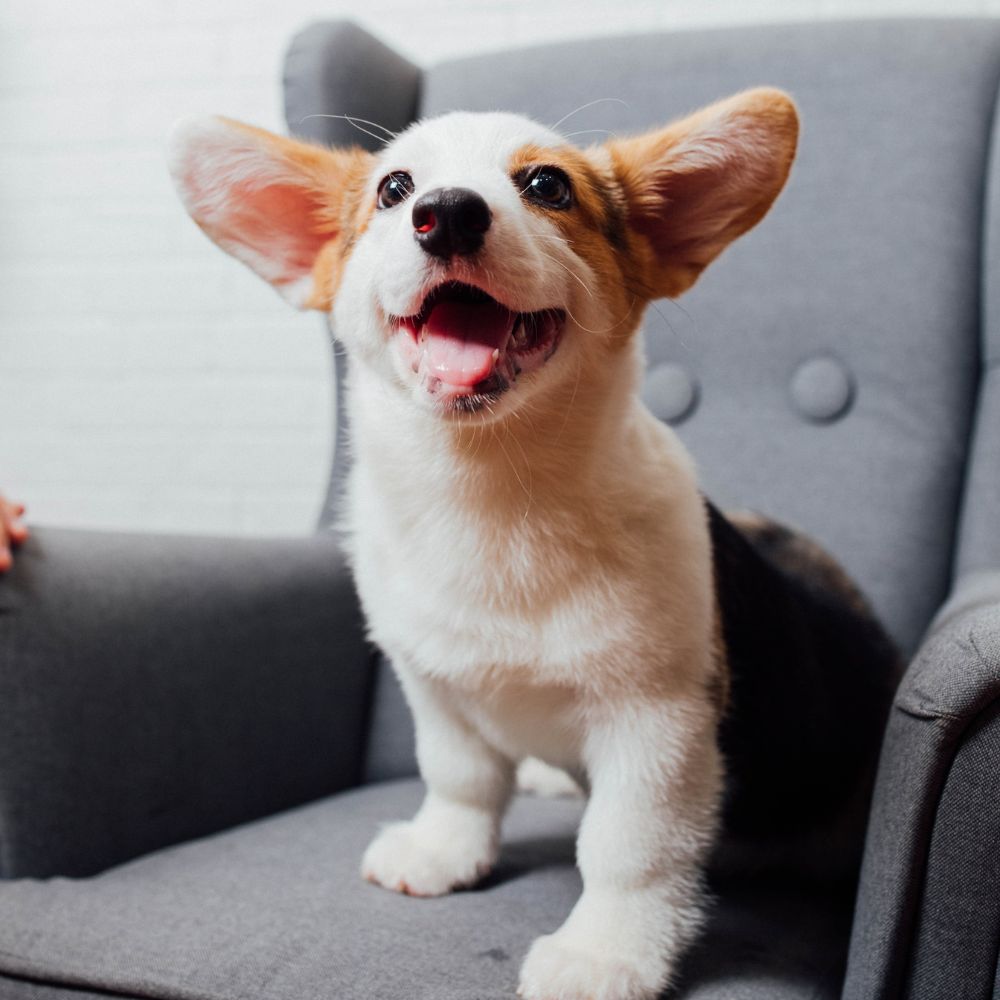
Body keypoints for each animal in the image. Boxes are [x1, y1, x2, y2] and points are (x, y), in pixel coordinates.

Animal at [168, 94, 904, 1000]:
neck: (490, 492)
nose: (446, 212)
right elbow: (460, 777)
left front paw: (606, 953)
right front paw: (442, 852)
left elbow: (627, 847)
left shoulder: (655, 719)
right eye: (393, 188)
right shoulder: (433, 685)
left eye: (547, 185)